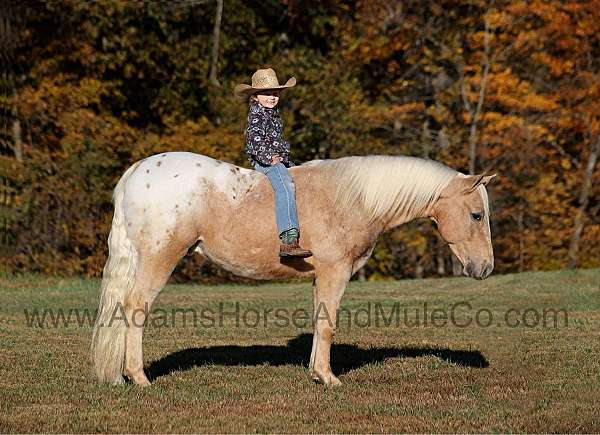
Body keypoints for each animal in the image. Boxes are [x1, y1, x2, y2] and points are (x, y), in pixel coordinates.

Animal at [92, 152, 496, 386]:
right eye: (477, 215)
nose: (486, 267)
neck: (354, 198)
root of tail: (137, 172)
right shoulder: (336, 272)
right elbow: (329, 323)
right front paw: (329, 378)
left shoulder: (322, 277)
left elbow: (320, 321)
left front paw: (317, 372)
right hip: (160, 258)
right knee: (135, 308)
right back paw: (138, 377)